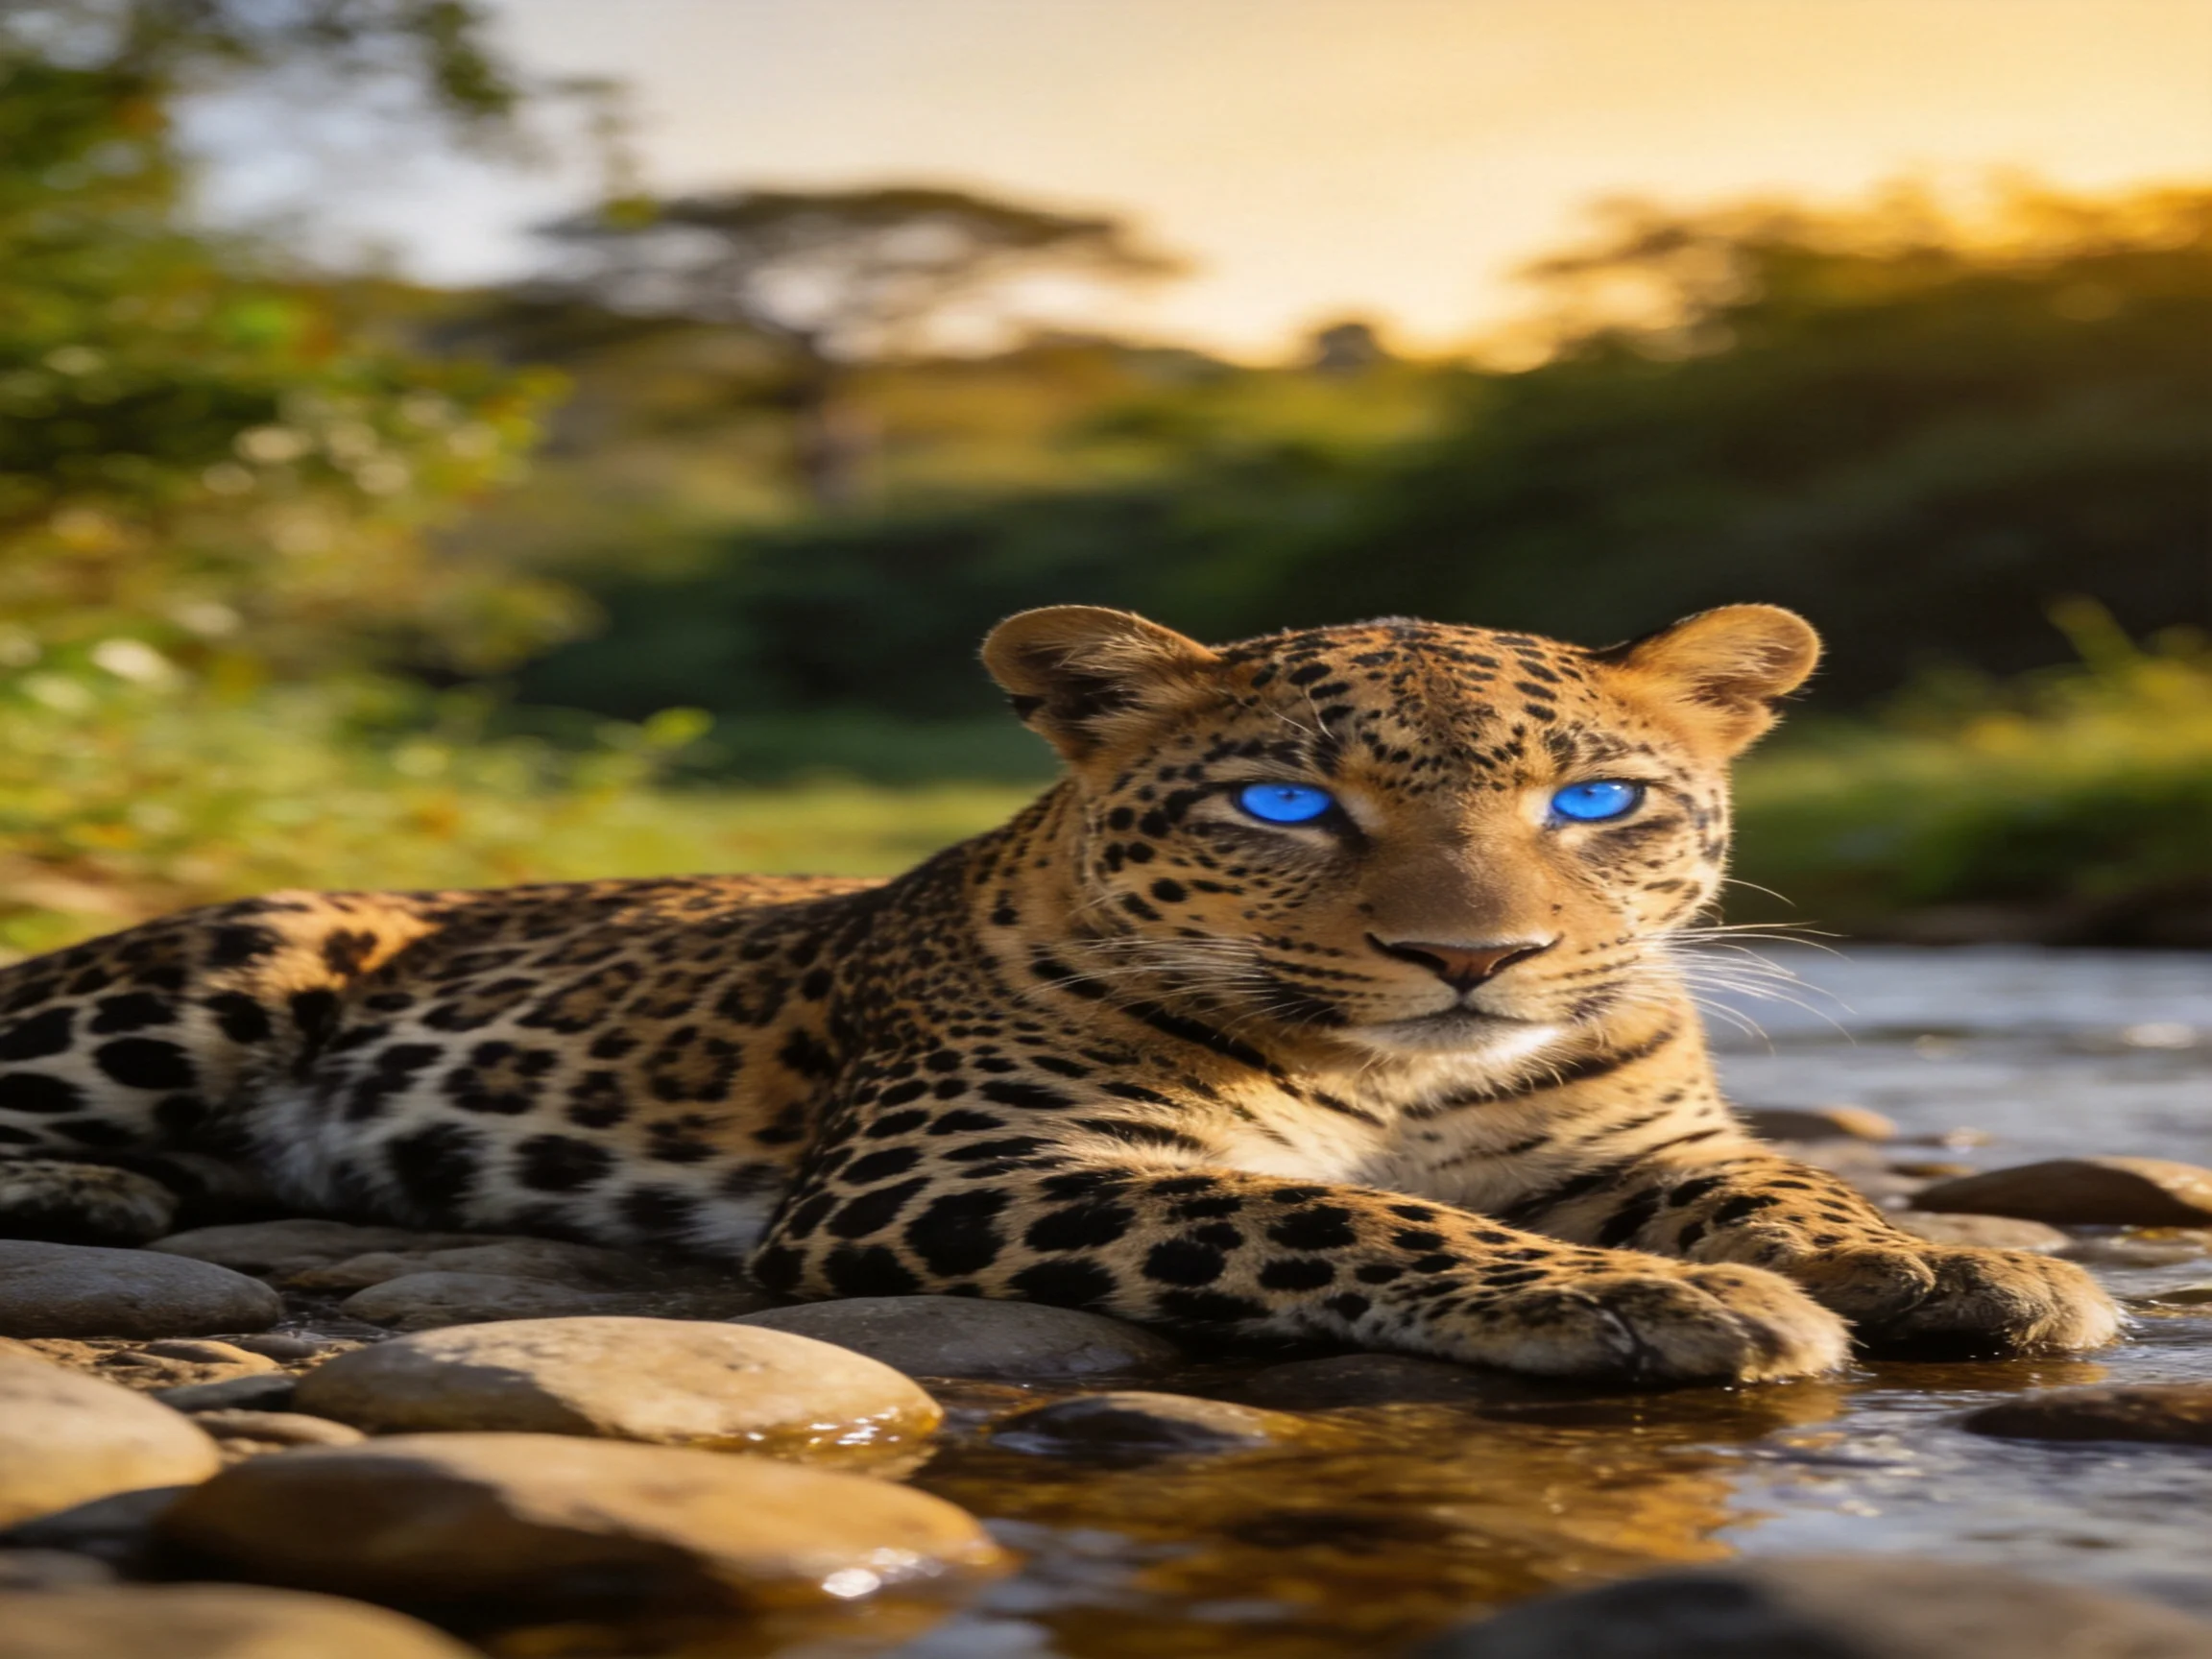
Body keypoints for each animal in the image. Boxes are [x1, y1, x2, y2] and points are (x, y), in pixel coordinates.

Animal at [0, 603, 2119, 1383]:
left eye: (1594, 805)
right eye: (1286, 802)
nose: (1474, 958)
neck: (1412, 1087)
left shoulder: (1635, 1131)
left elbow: (1786, 1176)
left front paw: (1954, 1258)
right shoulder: (950, 1165)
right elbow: (1320, 1216)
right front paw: (1648, 1300)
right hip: (244, 955)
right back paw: (101, 1185)